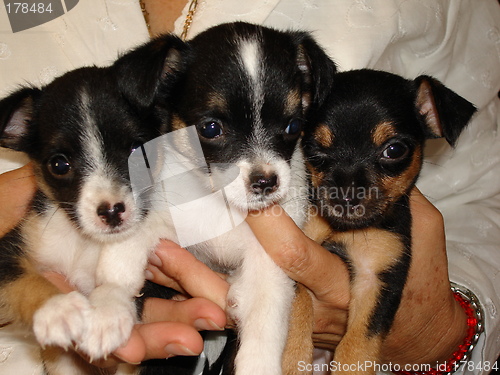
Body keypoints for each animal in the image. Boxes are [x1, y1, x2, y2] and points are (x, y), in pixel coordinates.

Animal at [0, 35, 188, 375]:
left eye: (137, 149)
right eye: (59, 164)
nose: (111, 211)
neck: (84, 243)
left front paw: (107, 314)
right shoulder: (11, 247)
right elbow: (22, 280)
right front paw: (57, 309)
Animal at [300, 69, 476, 374]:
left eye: (394, 150)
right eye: (313, 147)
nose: (345, 196)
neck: (342, 229)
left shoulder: (377, 279)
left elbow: (356, 348)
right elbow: (295, 314)